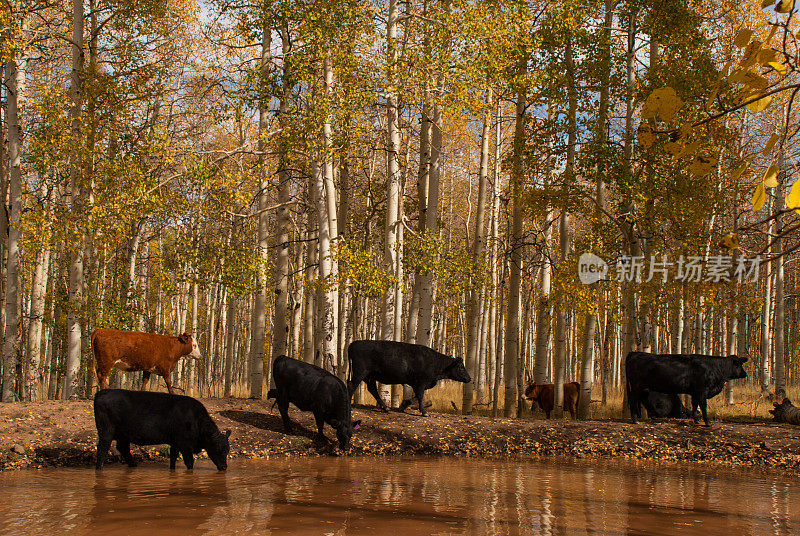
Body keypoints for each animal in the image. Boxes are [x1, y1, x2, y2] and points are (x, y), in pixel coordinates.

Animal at [94, 390, 231, 468]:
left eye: (227, 450)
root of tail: (102, 392)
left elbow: (173, 460)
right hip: (106, 432)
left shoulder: (175, 443)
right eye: (218, 449)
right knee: (101, 451)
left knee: (123, 449)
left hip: (124, 435)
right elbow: (189, 463)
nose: (224, 467)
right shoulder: (185, 445)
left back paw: (133, 465)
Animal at [624, 352, 752, 428]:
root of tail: (634, 353)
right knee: (633, 401)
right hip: (636, 386)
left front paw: (696, 420)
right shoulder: (702, 390)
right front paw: (707, 422)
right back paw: (635, 420)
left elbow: (695, 405)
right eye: (739, 364)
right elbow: (703, 406)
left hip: (641, 388)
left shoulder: (695, 392)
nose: (745, 374)